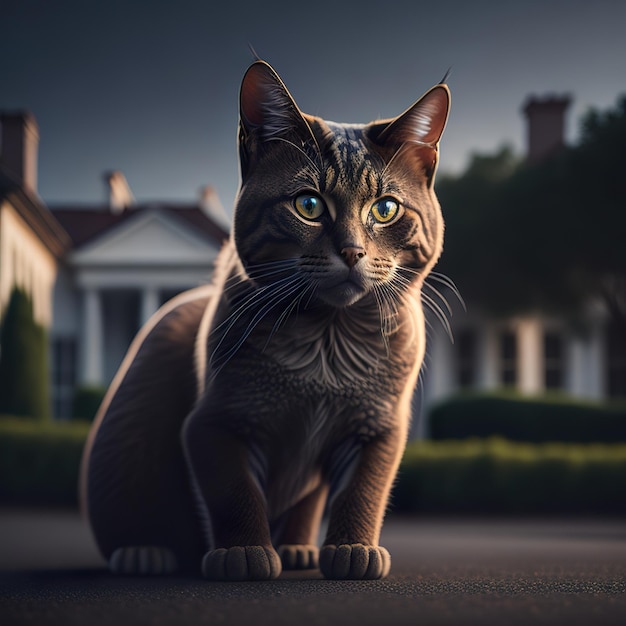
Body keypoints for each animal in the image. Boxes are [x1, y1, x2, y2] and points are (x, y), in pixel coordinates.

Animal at [79, 59, 448, 580]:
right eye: (309, 205)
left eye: (385, 209)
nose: (353, 251)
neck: (327, 346)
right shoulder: (216, 425)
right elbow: (236, 494)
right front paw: (243, 554)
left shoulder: (377, 428)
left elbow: (362, 491)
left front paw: (352, 549)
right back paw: (144, 553)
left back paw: (296, 548)